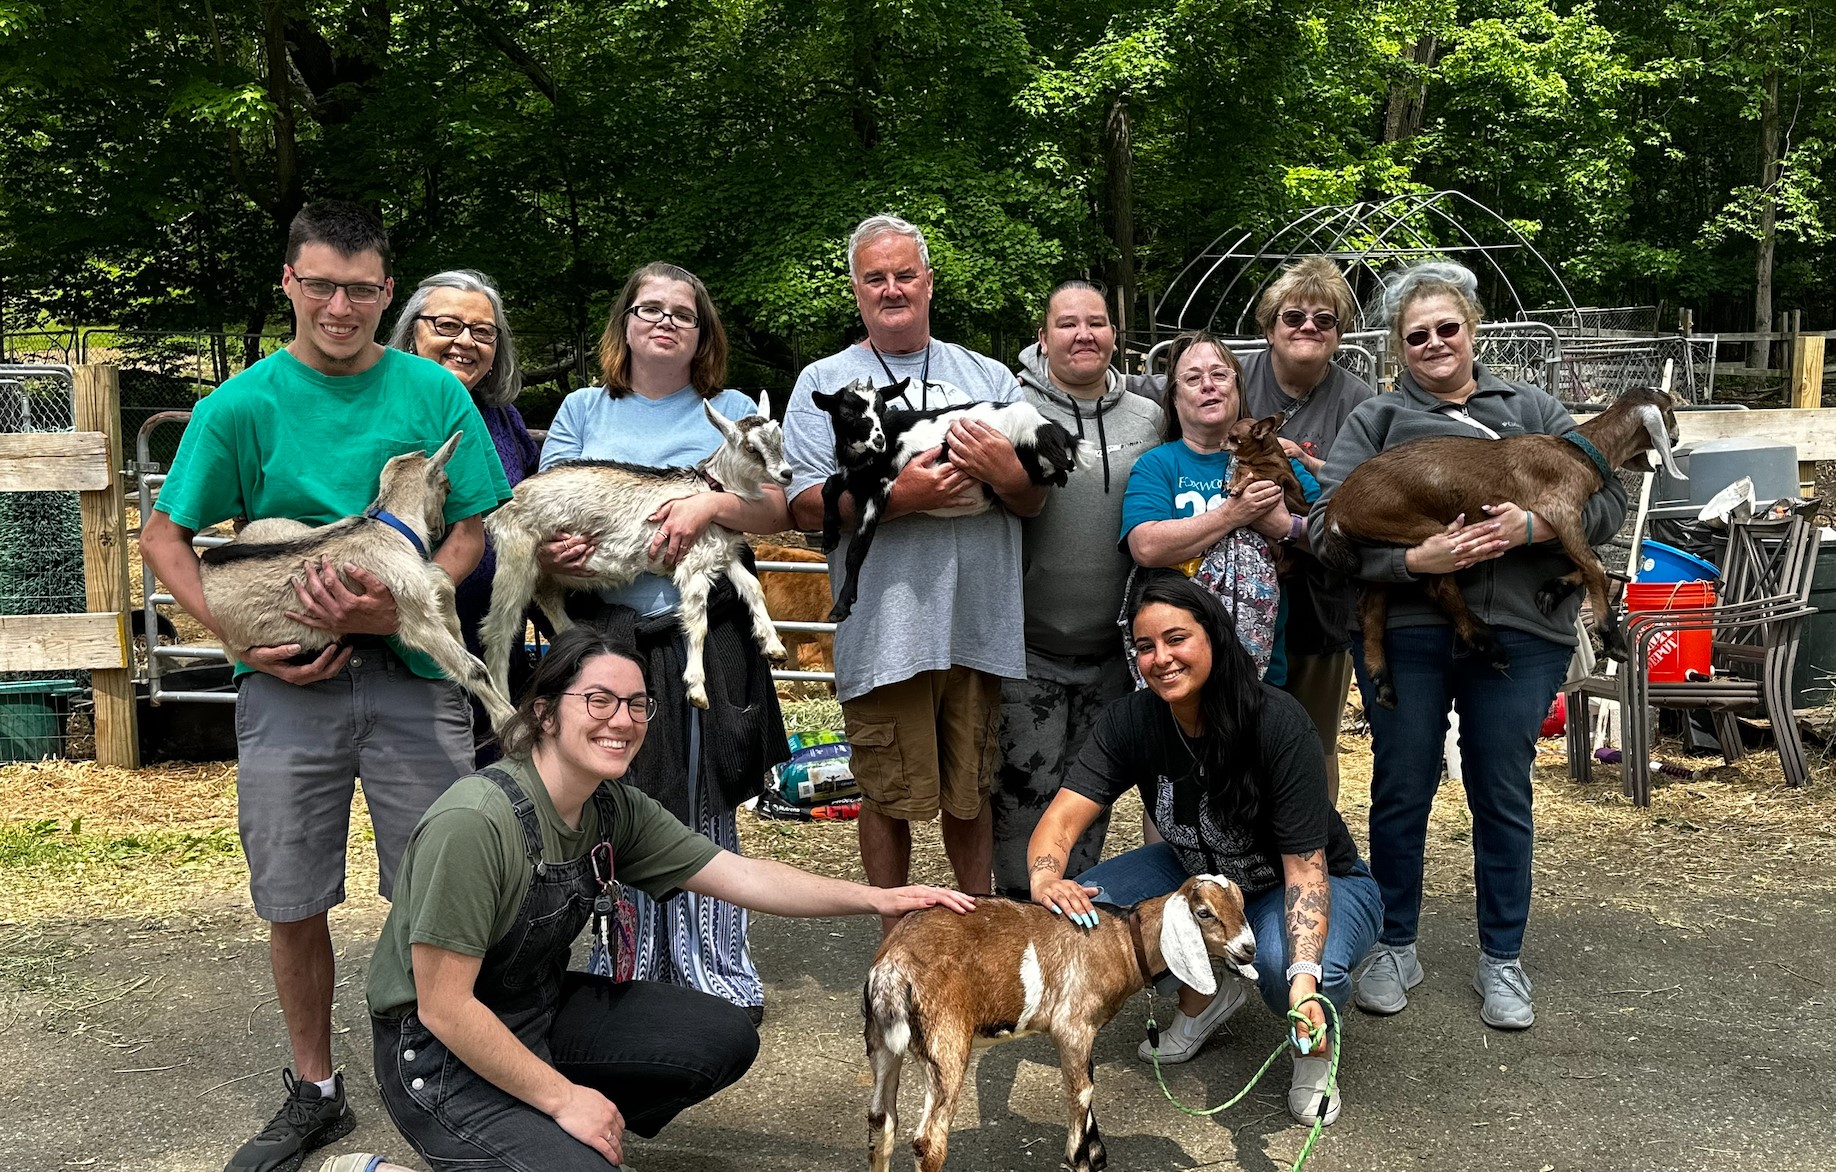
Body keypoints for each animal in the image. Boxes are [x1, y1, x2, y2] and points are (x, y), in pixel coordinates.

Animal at [198, 437, 517, 734]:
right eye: (447, 487)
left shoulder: (417, 579)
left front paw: (456, 629)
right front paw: (507, 719)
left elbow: (442, 579)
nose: (440, 529)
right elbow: (472, 668)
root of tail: (207, 561)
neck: (388, 528)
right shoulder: (414, 615)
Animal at [481, 396, 789, 705]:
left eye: (780, 437)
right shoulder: (692, 565)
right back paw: (503, 703)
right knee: (497, 632)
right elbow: (697, 622)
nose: (786, 473)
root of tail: (499, 511)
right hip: (516, 557)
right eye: (751, 448)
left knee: (547, 598)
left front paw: (774, 646)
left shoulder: (723, 555)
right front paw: (696, 690)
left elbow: (752, 587)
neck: (714, 489)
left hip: (548, 569)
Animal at [815, 383, 1079, 624]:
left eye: (882, 407)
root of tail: (1051, 426)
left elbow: (856, 551)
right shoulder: (856, 480)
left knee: (1063, 468)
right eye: (846, 413)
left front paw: (841, 607)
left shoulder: (878, 490)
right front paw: (829, 538)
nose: (878, 441)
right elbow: (828, 486)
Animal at [866, 881, 1255, 1172]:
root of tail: (893, 964)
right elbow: (1081, 1091)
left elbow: (1087, 1081)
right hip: (944, 1044)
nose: (1249, 948)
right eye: (1204, 913)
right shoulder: (1073, 1025)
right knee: (928, 1142)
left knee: (881, 1120)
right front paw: (1080, 1158)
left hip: (882, 1043)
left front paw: (1096, 1154)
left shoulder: (1081, 1034)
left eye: (1241, 904)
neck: (1121, 941)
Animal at [1314, 389, 1681, 712]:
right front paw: (1612, 638)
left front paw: (1554, 589)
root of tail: (1336, 511)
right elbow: (1594, 566)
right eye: (1669, 410)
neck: (1578, 452)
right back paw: (1487, 644)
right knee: (1437, 586)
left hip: (1387, 545)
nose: (1676, 438)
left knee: (1372, 610)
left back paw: (1384, 682)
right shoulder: (1559, 509)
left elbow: (1597, 561)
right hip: (1430, 532)